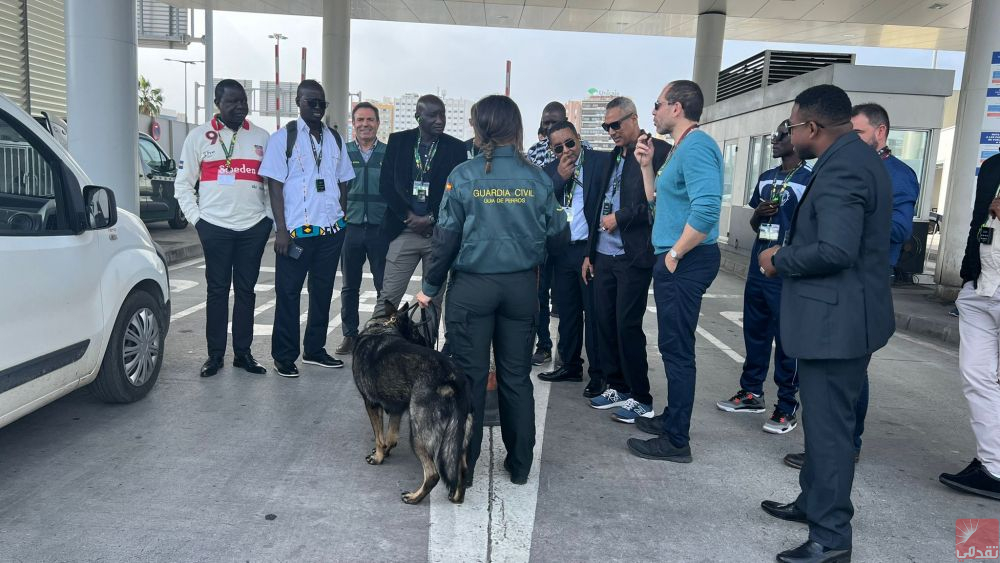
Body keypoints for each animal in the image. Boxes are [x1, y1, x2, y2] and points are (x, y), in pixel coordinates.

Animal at [354, 302, 474, 504]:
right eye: (417, 333)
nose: (429, 343)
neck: (382, 327)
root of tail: (452, 377)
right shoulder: (396, 410)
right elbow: (391, 437)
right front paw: (386, 451)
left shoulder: (371, 404)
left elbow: (379, 437)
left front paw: (378, 457)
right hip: (458, 437)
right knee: (462, 468)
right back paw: (456, 497)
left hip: (418, 434)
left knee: (433, 474)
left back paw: (414, 497)